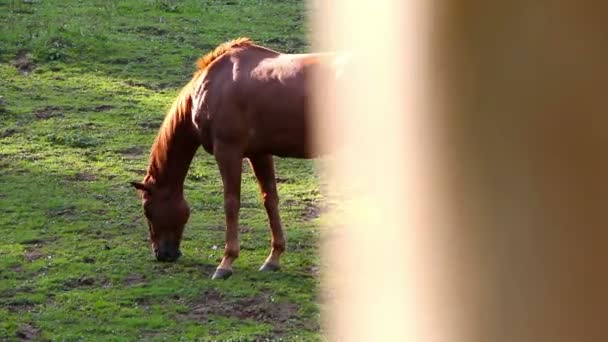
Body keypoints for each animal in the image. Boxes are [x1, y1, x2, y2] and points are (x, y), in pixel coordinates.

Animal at [129, 38, 346, 278]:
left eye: (147, 210)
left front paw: (226, 262)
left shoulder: (227, 151)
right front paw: (273, 258)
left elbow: (231, 203)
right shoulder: (259, 154)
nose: (162, 255)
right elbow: (270, 199)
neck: (214, 84)